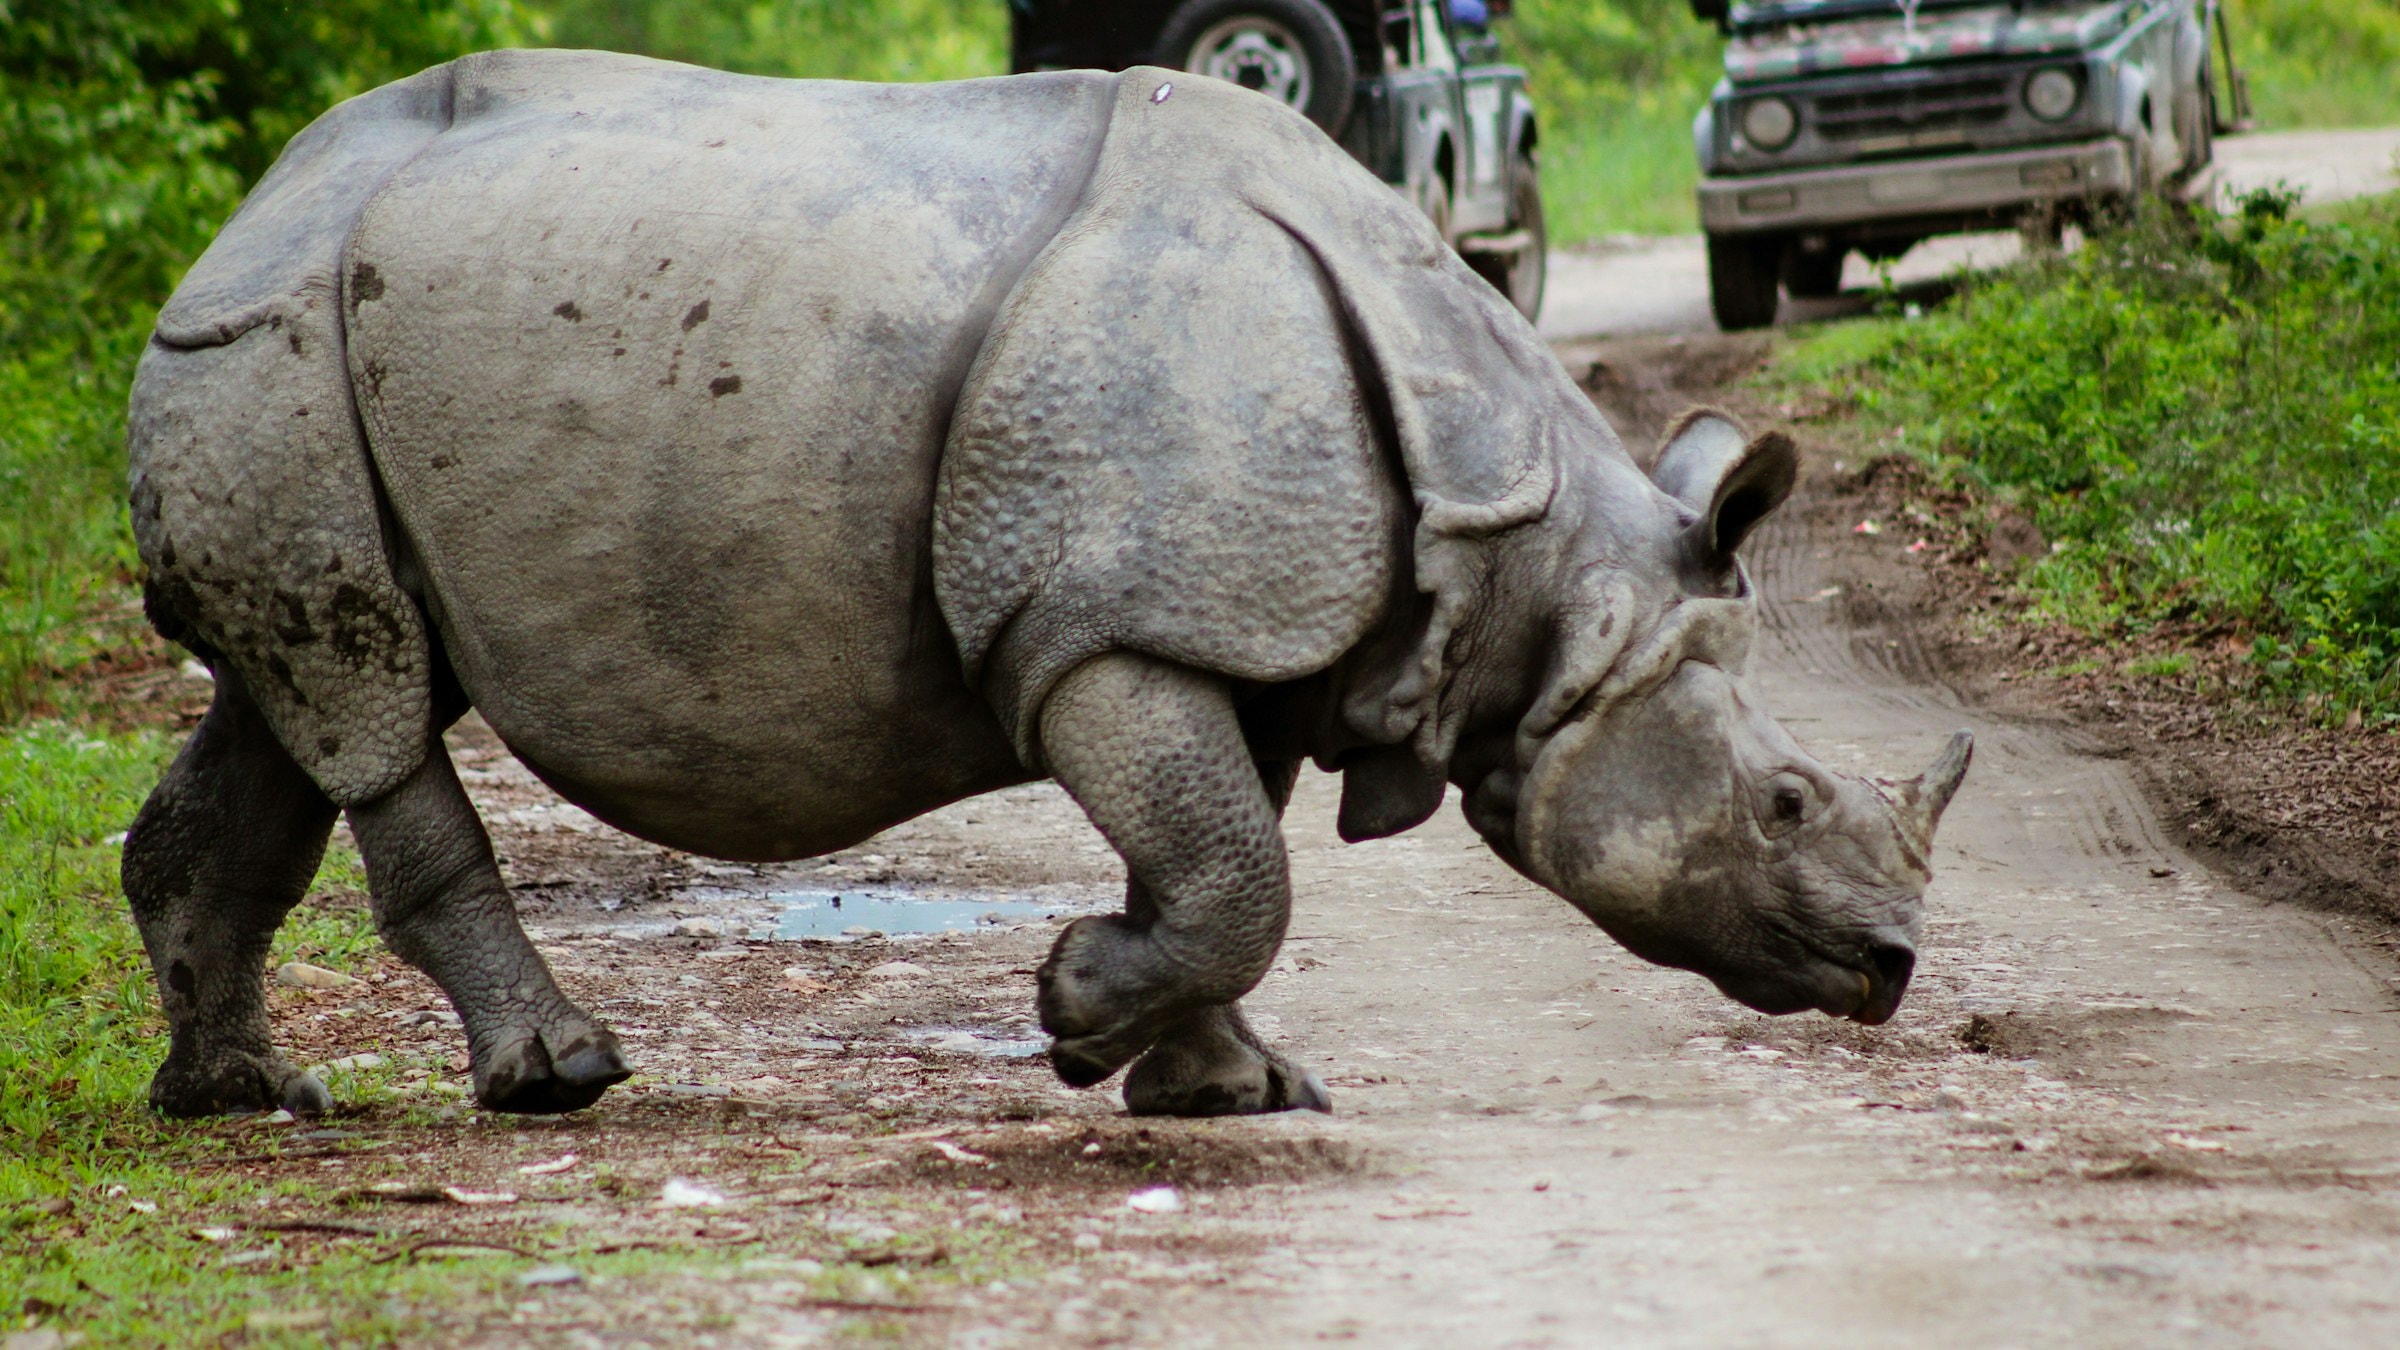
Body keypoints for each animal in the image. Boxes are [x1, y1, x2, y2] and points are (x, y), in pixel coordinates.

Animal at [123, 49, 1970, 1120]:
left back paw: (241, 1098)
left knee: (300, 695)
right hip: (273, 342)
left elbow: (1223, 862)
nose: (1890, 969)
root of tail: (248, 205)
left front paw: (1226, 1089)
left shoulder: (1241, 625)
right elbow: (1230, 871)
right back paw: (557, 1081)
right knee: (366, 699)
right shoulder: (1096, 628)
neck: (1530, 568)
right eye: (1785, 801)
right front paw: (1081, 1015)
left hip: (324, 346)